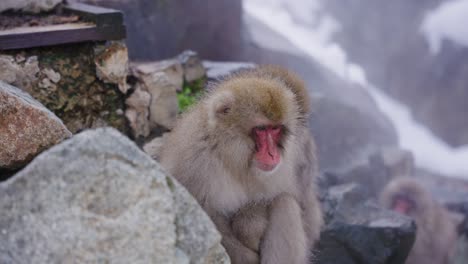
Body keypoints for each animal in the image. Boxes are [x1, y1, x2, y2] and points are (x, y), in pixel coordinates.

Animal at [159, 66, 324, 264]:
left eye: (275, 129)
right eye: (261, 129)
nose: (273, 154)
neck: (232, 160)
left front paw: (249, 224)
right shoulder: (194, 165)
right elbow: (210, 222)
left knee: (285, 203)